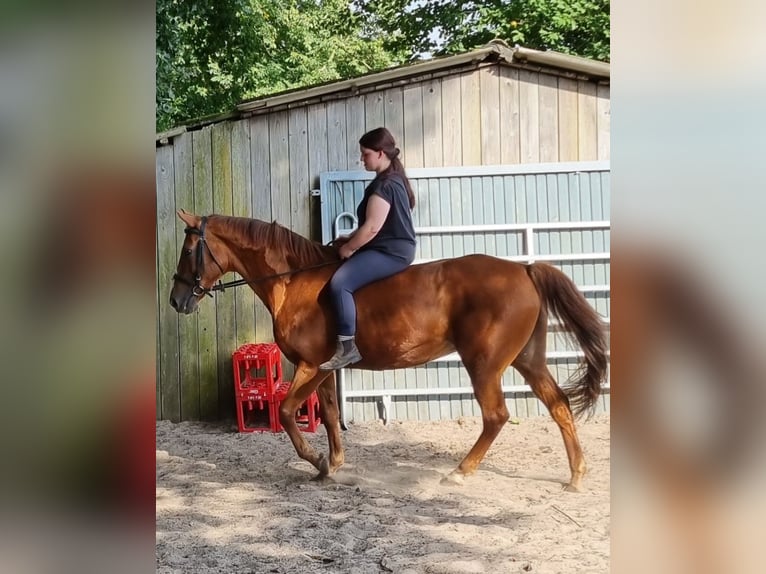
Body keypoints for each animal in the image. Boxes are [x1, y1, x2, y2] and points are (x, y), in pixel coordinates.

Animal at [171, 214, 608, 492]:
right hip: (527, 360)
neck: (293, 281)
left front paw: (317, 461)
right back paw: (576, 476)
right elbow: (329, 414)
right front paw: (333, 466)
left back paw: (460, 473)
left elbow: (287, 411)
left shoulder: (309, 366)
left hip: (484, 365)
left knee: (496, 416)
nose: (177, 300)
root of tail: (524, 270)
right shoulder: (323, 369)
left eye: (189, 249)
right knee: (559, 405)